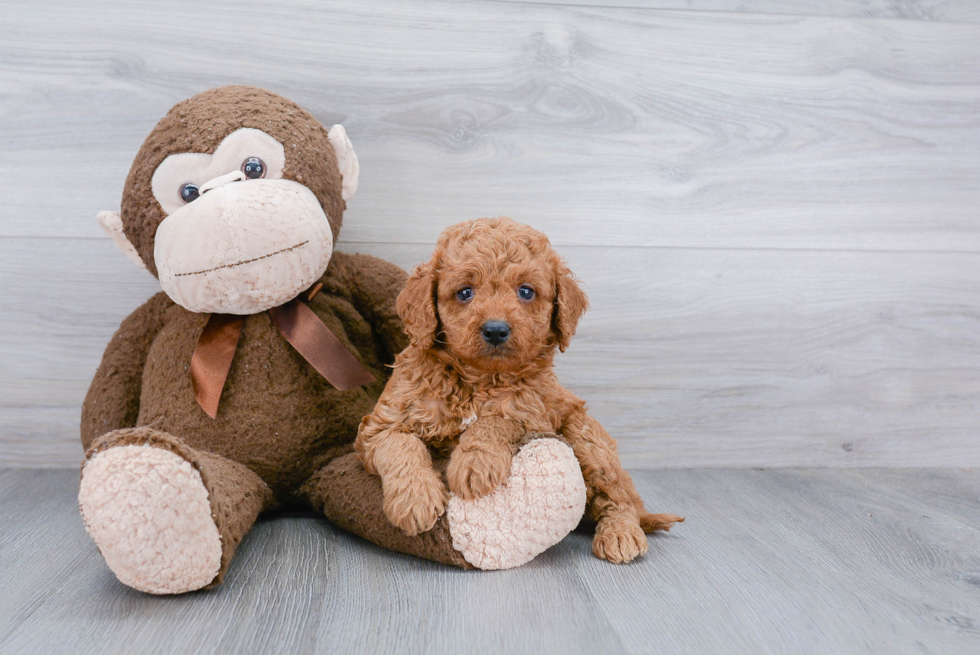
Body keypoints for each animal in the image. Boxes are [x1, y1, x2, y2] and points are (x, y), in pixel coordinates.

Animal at [356, 217, 684, 564]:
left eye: (526, 291)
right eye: (464, 292)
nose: (496, 330)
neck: (479, 378)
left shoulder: (533, 411)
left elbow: (497, 420)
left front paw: (474, 463)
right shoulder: (381, 424)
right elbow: (399, 444)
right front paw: (415, 499)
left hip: (589, 439)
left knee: (617, 497)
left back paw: (620, 534)